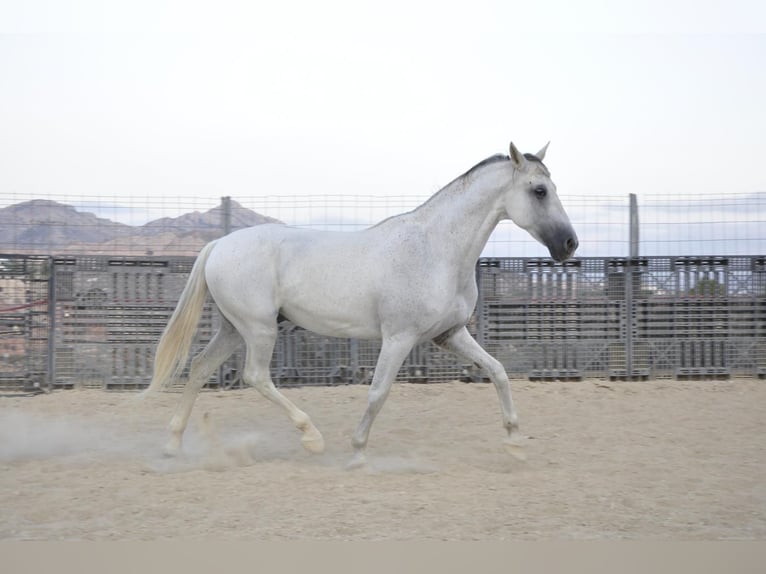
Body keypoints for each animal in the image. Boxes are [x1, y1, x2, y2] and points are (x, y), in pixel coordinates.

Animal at [144, 143, 580, 468]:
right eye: (539, 190)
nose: (569, 244)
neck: (436, 250)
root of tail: (219, 245)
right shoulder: (399, 337)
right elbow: (378, 392)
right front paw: (356, 453)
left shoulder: (449, 335)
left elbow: (499, 371)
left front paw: (516, 443)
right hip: (259, 328)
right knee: (255, 376)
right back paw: (312, 438)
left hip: (234, 328)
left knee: (200, 367)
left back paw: (172, 444)